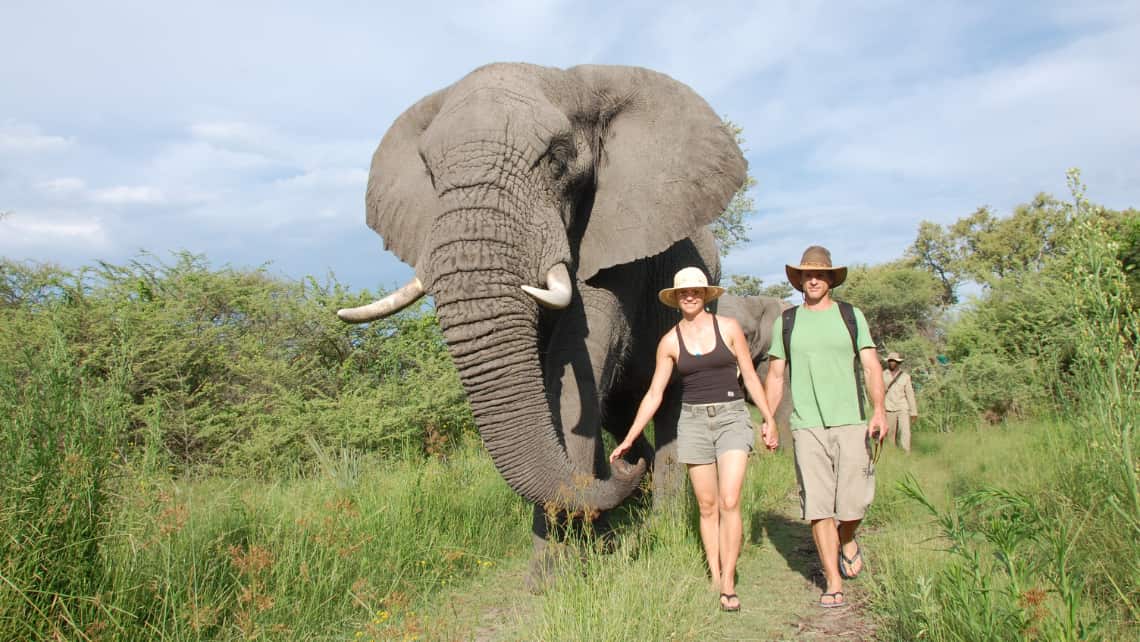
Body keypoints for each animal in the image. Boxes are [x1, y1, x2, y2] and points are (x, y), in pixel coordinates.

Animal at [337, 62, 747, 583]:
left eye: (557, 159)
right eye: (429, 173)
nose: (625, 467)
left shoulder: (618, 241)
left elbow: (575, 368)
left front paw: (555, 575)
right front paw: (570, 561)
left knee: (671, 405)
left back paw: (663, 524)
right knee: (619, 410)